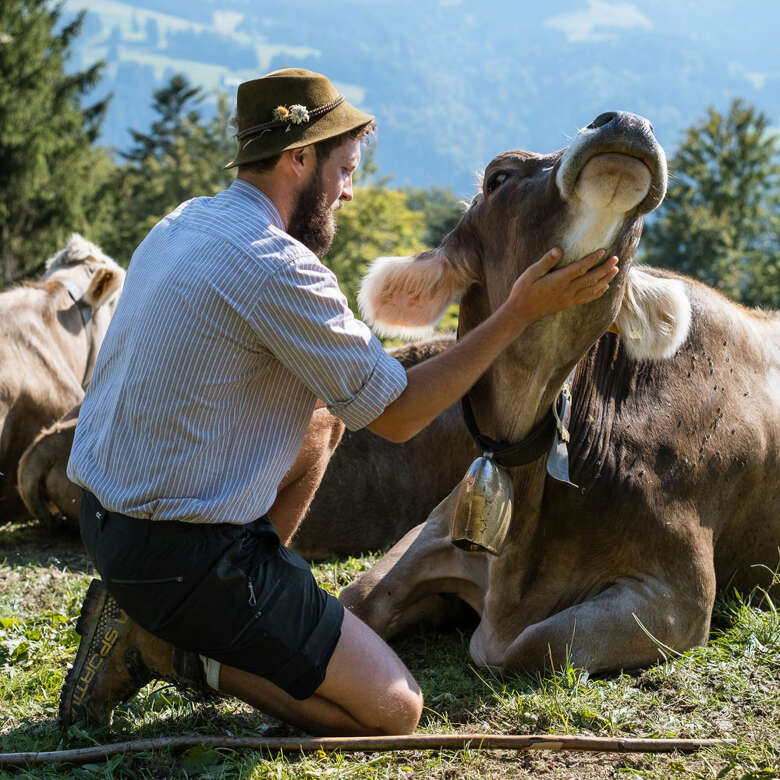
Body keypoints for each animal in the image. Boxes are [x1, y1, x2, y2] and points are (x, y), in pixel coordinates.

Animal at [340, 111, 780, 676]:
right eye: (498, 177)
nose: (627, 121)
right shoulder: (430, 530)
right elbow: (357, 600)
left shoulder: (679, 594)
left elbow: (529, 645)